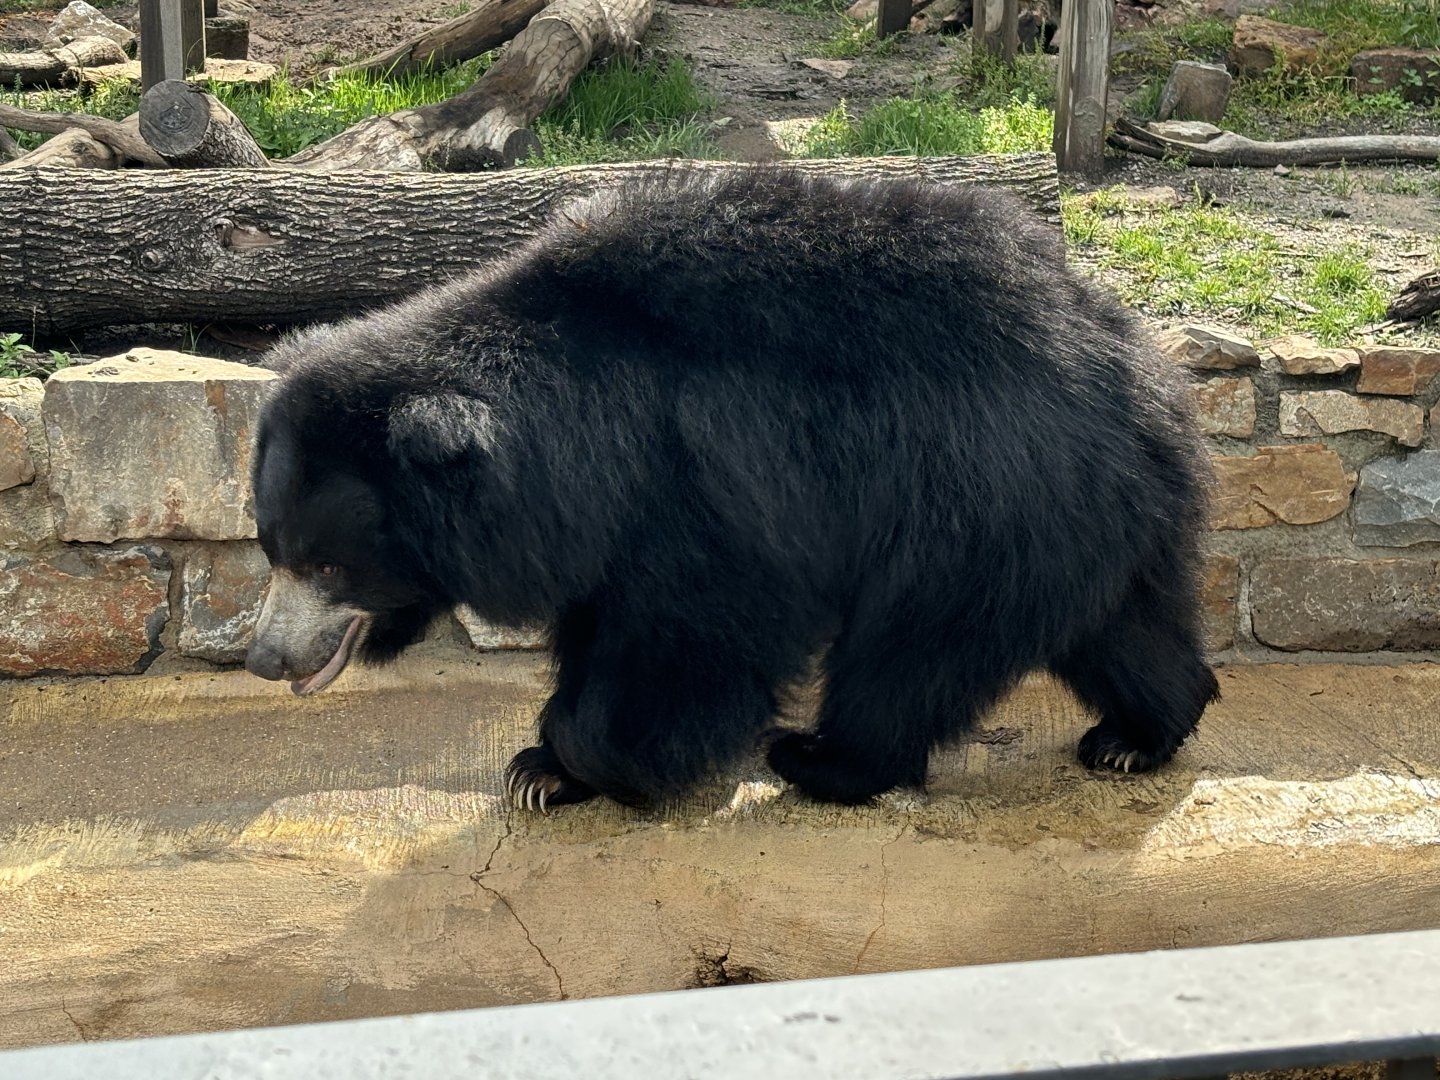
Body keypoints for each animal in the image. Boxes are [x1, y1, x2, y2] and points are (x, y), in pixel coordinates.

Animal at [244, 165, 1220, 810]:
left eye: (328, 566)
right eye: (270, 551)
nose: (265, 658)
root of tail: (1145, 370)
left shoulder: (702, 481)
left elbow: (694, 634)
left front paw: (590, 760)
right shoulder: (603, 524)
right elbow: (602, 618)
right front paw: (539, 772)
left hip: (980, 497)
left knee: (913, 648)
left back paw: (823, 760)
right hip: (1075, 510)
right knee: (1120, 623)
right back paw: (1136, 738)